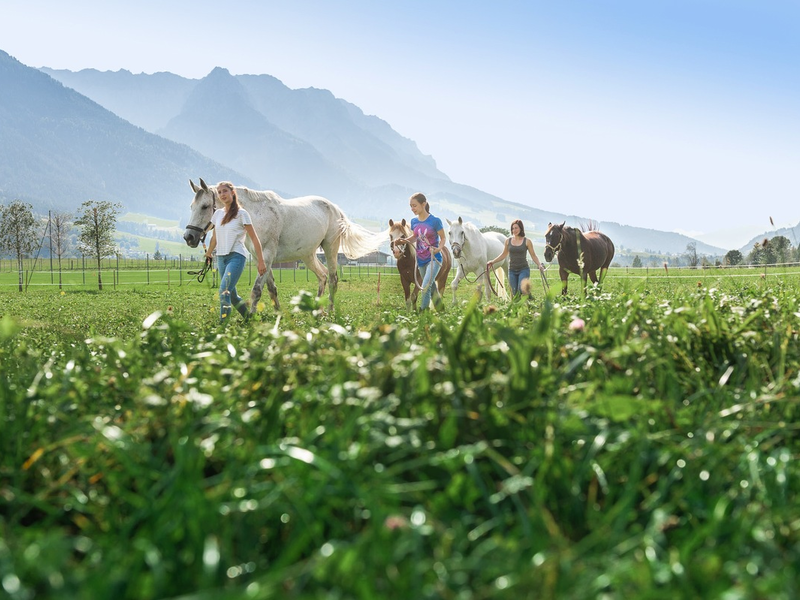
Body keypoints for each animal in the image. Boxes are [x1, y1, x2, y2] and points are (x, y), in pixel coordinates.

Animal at [183, 178, 387, 313]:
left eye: (205, 206)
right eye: (191, 207)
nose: (189, 237)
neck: (255, 215)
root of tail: (336, 209)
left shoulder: (267, 255)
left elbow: (257, 290)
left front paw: (250, 318)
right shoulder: (259, 258)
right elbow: (271, 288)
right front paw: (277, 314)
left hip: (330, 249)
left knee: (333, 279)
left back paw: (329, 311)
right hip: (308, 255)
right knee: (322, 276)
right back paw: (317, 311)